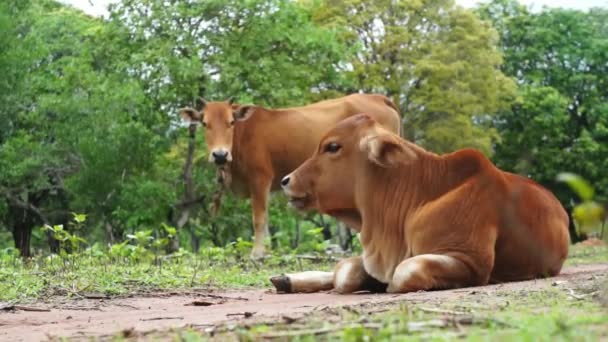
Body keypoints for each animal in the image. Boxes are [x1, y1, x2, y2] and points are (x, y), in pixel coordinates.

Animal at [178, 92, 402, 258]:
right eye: (204, 123)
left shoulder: (260, 178)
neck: (241, 136)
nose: (220, 155)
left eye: (231, 122)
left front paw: (257, 253)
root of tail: (378, 97)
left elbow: (259, 218)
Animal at [274, 113, 568, 292]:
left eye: (333, 147)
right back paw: (285, 280)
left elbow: (404, 272)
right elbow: (344, 271)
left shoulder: (471, 262)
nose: (286, 180)